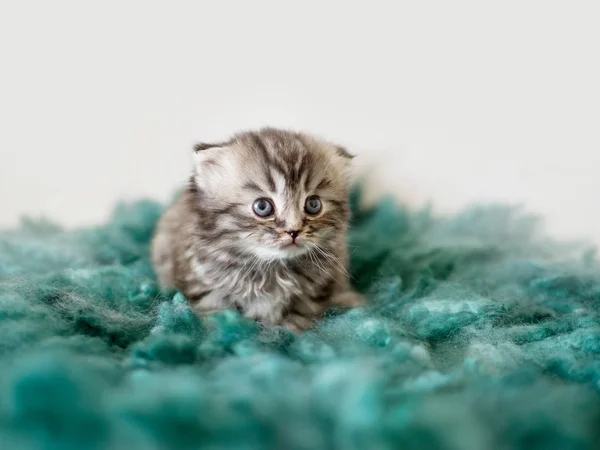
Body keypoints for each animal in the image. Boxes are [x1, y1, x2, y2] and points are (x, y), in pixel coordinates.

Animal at [152, 126, 364, 330]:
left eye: (313, 205)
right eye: (262, 207)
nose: (293, 231)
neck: (272, 269)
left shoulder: (319, 288)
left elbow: (302, 313)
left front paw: (293, 328)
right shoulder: (204, 287)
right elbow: (216, 314)